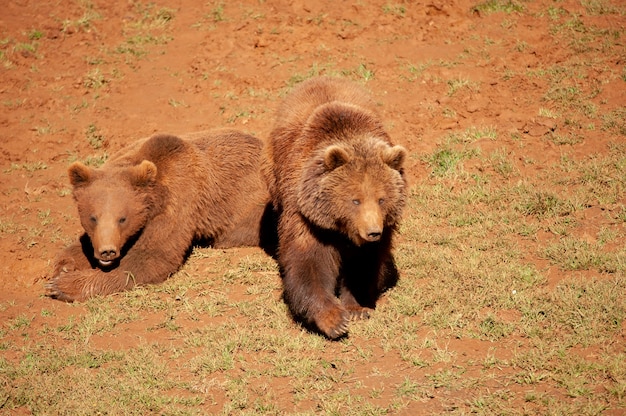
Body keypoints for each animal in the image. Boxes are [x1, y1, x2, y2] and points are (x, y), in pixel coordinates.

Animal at [44, 128, 268, 300]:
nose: (107, 251)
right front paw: (64, 267)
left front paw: (63, 285)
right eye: (93, 218)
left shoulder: (178, 201)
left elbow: (150, 258)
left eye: (122, 219)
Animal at [260, 76, 408, 340]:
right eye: (355, 200)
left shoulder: (380, 232)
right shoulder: (307, 217)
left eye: (381, 199)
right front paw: (333, 319)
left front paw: (357, 308)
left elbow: (365, 264)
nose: (373, 231)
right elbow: (309, 263)